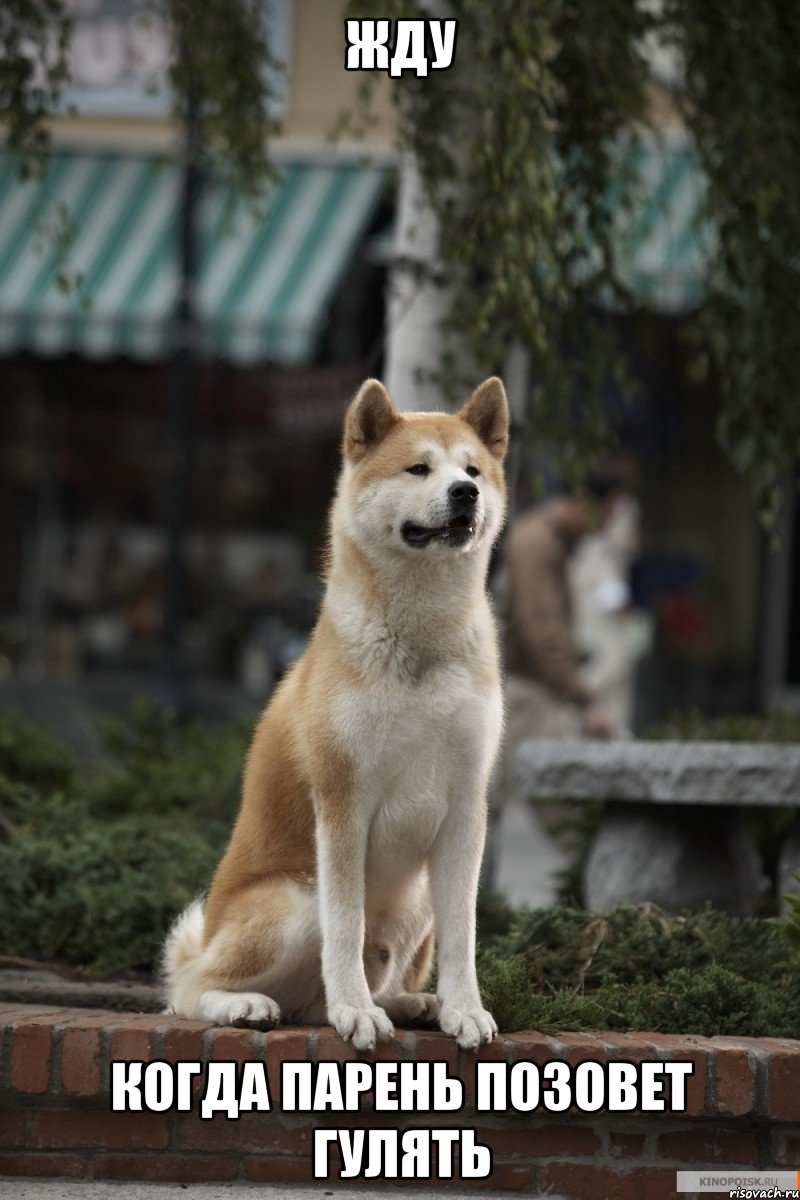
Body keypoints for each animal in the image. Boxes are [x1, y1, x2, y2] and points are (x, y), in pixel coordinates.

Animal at [163, 374, 510, 1051]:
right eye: (418, 468)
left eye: (473, 470)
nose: (466, 493)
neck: (420, 643)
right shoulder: (343, 800)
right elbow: (345, 928)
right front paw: (355, 1011)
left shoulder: (466, 806)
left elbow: (465, 935)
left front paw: (464, 1009)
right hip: (296, 900)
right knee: (189, 990)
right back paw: (250, 1005)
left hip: (416, 900)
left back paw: (414, 1003)